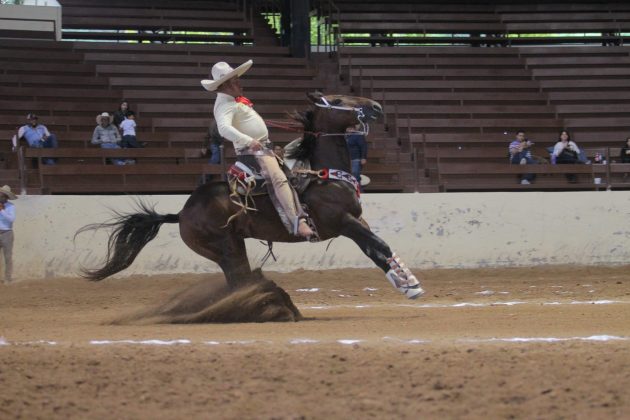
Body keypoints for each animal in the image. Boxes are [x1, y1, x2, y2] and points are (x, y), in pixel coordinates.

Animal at [79, 92, 424, 320]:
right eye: (338, 100)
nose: (376, 107)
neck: (324, 177)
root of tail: (181, 212)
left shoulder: (356, 221)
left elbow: (375, 249)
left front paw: (406, 284)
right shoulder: (343, 222)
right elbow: (380, 245)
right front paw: (412, 285)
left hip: (230, 248)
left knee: (239, 281)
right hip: (225, 247)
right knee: (240, 281)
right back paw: (266, 308)